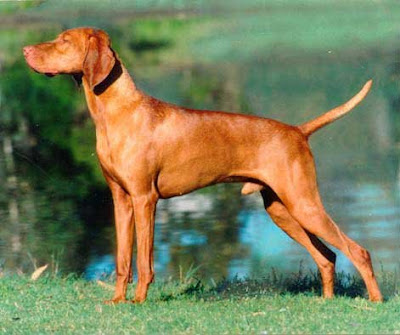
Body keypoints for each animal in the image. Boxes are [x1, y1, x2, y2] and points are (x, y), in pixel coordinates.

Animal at [23, 26, 382, 304]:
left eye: (64, 40)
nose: (26, 49)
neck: (118, 113)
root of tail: (297, 130)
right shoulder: (121, 200)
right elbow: (124, 258)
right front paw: (117, 301)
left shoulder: (144, 199)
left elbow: (145, 260)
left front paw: (139, 301)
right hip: (282, 209)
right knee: (328, 256)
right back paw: (327, 301)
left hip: (303, 204)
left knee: (358, 251)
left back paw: (375, 302)